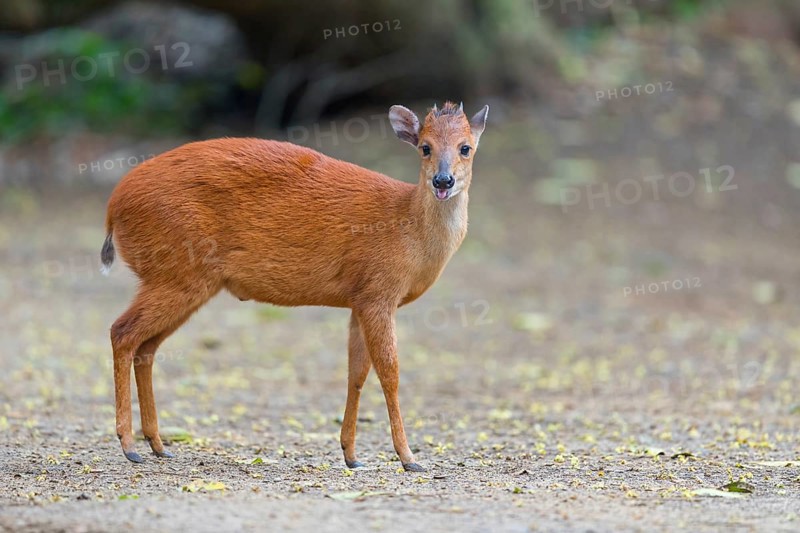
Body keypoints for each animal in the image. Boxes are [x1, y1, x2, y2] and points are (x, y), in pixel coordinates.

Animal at [102, 101, 488, 471]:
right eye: (425, 147)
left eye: (465, 147)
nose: (442, 181)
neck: (407, 227)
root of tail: (112, 205)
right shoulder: (379, 292)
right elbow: (389, 371)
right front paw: (409, 458)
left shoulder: (358, 299)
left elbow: (356, 373)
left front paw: (351, 455)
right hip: (176, 274)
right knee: (122, 332)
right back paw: (129, 446)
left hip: (182, 282)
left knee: (147, 347)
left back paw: (158, 445)